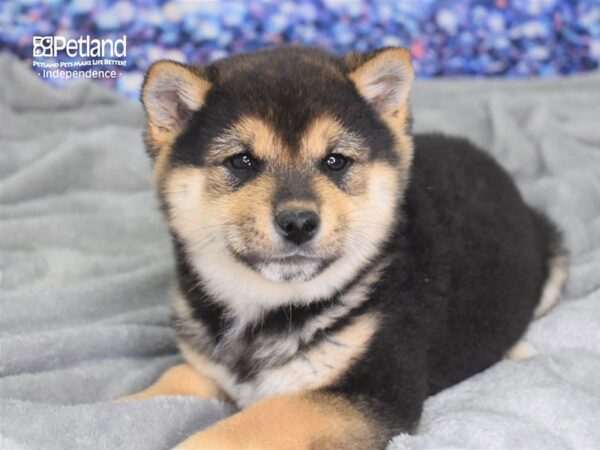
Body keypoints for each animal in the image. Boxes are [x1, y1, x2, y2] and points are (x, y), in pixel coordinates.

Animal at [125, 47, 568, 448]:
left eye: (335, 161)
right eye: (242, 161)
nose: (298, 223)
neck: (265, 309)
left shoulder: (370, 391)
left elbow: (249, 424)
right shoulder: (206, 367)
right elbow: (163, 384)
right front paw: (121, 406)